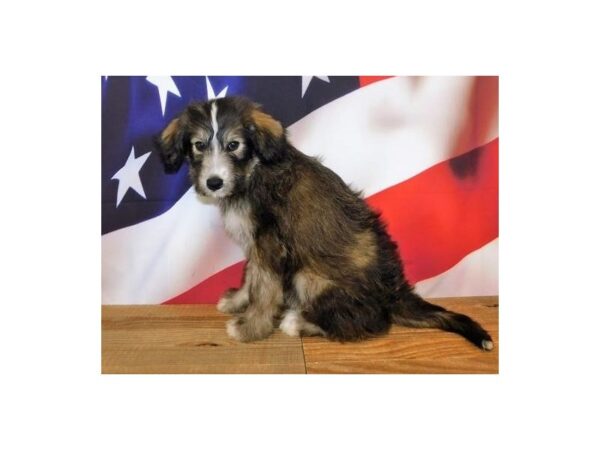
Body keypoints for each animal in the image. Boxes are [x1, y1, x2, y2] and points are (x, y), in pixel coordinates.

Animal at [157, 97, 494, 352]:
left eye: (233, 145)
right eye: (199, 145)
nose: (213, 183)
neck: (253, 171)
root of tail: (394, 294)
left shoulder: (271, 246)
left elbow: (264, 289)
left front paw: (252, 327)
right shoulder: (257, 244)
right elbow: (251, 277)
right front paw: (239, 301)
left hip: (309, 276)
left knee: (370, 322)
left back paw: (298, 322)